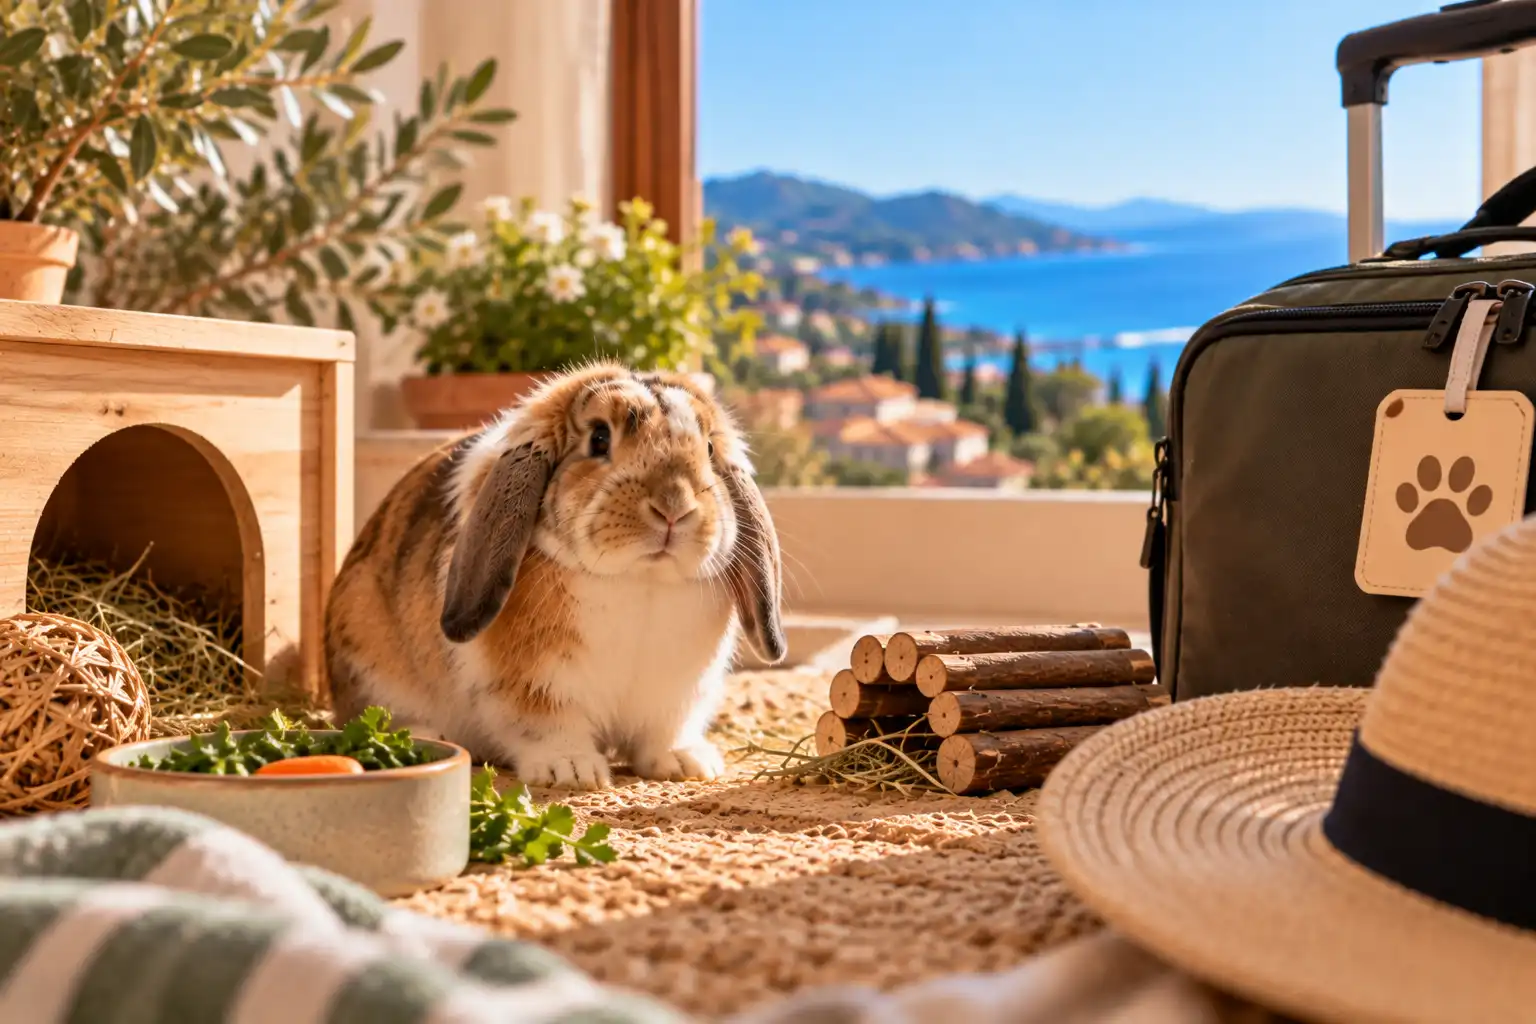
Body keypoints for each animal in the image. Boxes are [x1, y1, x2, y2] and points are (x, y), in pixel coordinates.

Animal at [324, 362, 786, 790]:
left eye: (708, 448)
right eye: (599, 438)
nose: (674, 506)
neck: (641, 580)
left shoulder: (677, 696)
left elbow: (665, 733)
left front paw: (686, 765)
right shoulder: (535, 688)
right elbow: (547, 728)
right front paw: (572, 771)